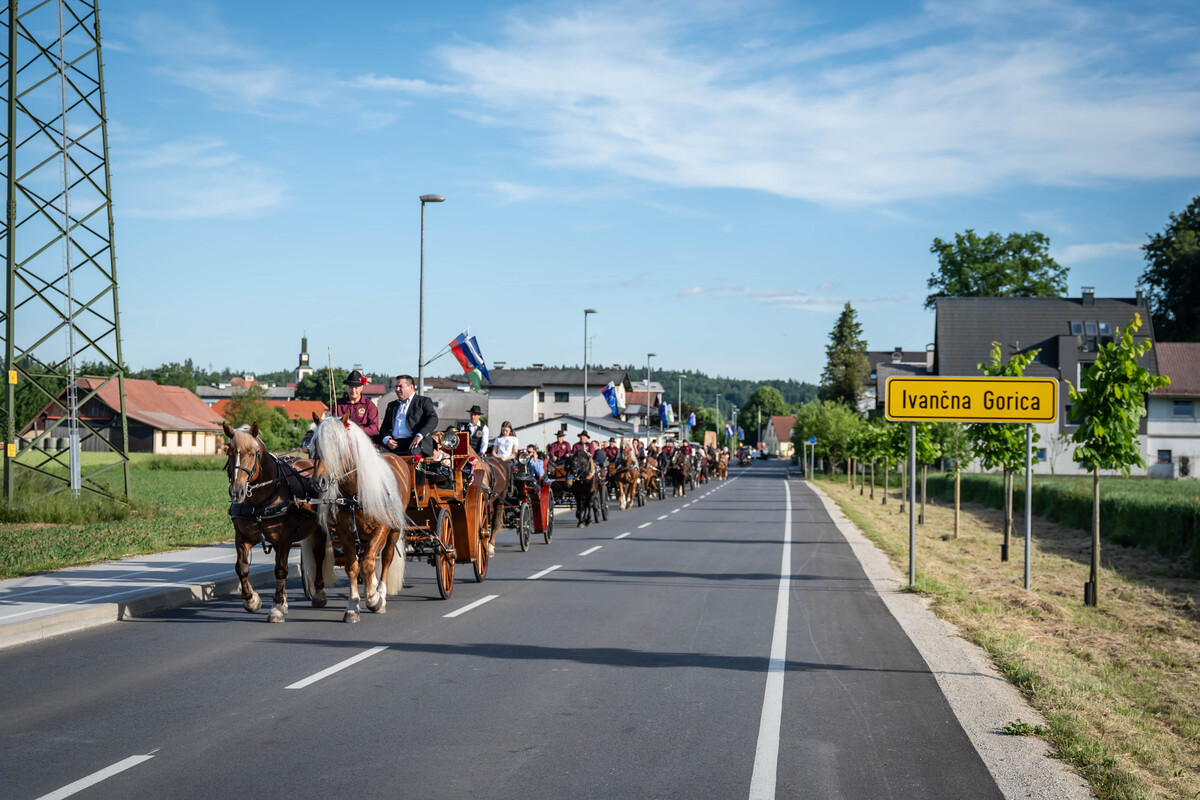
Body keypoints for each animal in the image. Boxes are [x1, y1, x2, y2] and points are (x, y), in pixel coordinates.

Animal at [223, 422, 327, 623]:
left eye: (252, 453)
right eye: (229, 452)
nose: (236, 492)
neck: (259, 502)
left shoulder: (285, 538)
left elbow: (280, 570)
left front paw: (277, 607)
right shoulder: (242, 537)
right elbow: (242, 568)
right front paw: (252, 600)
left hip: (319, 529)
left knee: (319, 556)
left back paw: (318, 594)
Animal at [308, 412, 409, 623]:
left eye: (339, 446)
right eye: (315, 447)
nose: (319, 481)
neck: (355, 492)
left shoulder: (382, 527)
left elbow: (370, 563)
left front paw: (374, 600)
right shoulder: (345, 532)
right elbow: (353, 567)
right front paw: (353, 606)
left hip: (394, 529)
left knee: (386, 557)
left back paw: (381, 592)